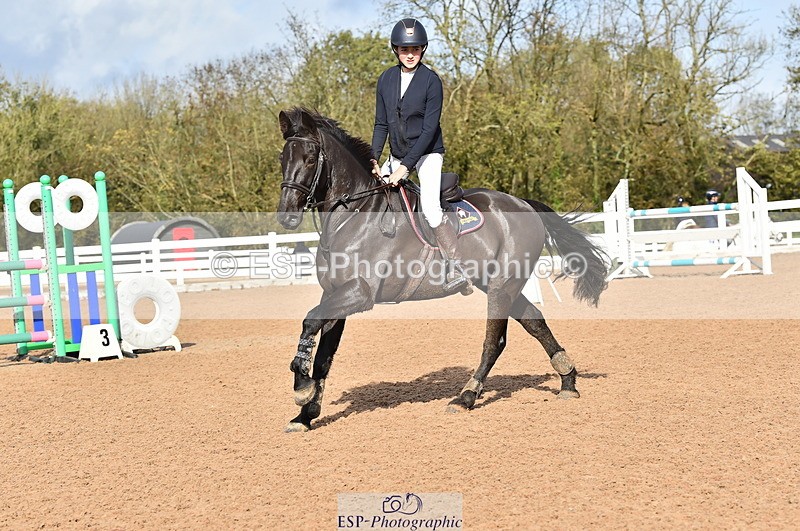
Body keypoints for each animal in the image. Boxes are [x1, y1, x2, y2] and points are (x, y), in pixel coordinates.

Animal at [277, 107, 608, 432]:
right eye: (283, 159)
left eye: (309, 159)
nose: (286, 217)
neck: (355, 215)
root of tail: (523, 204)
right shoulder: (335, 294)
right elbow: (323, 353)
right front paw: (305, 414)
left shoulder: (359, 293)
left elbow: (309, 320)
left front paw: (300, 384)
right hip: (499, 284)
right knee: (534, 321)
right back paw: (567, 380)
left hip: (502, 286)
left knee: (495, 342)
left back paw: (466, 397)